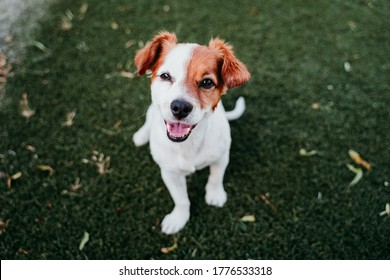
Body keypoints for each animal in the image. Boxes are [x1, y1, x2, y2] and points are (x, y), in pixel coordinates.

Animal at [133, 31, 250, 234]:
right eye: (165, 76)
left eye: (207, 82)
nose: (180, 107)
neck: (188, 144)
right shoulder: (170, 173)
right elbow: (181, 199)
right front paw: (179, 218)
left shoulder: (221, 157)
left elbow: (215, 178)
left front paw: (215, 195)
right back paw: (141, 136)